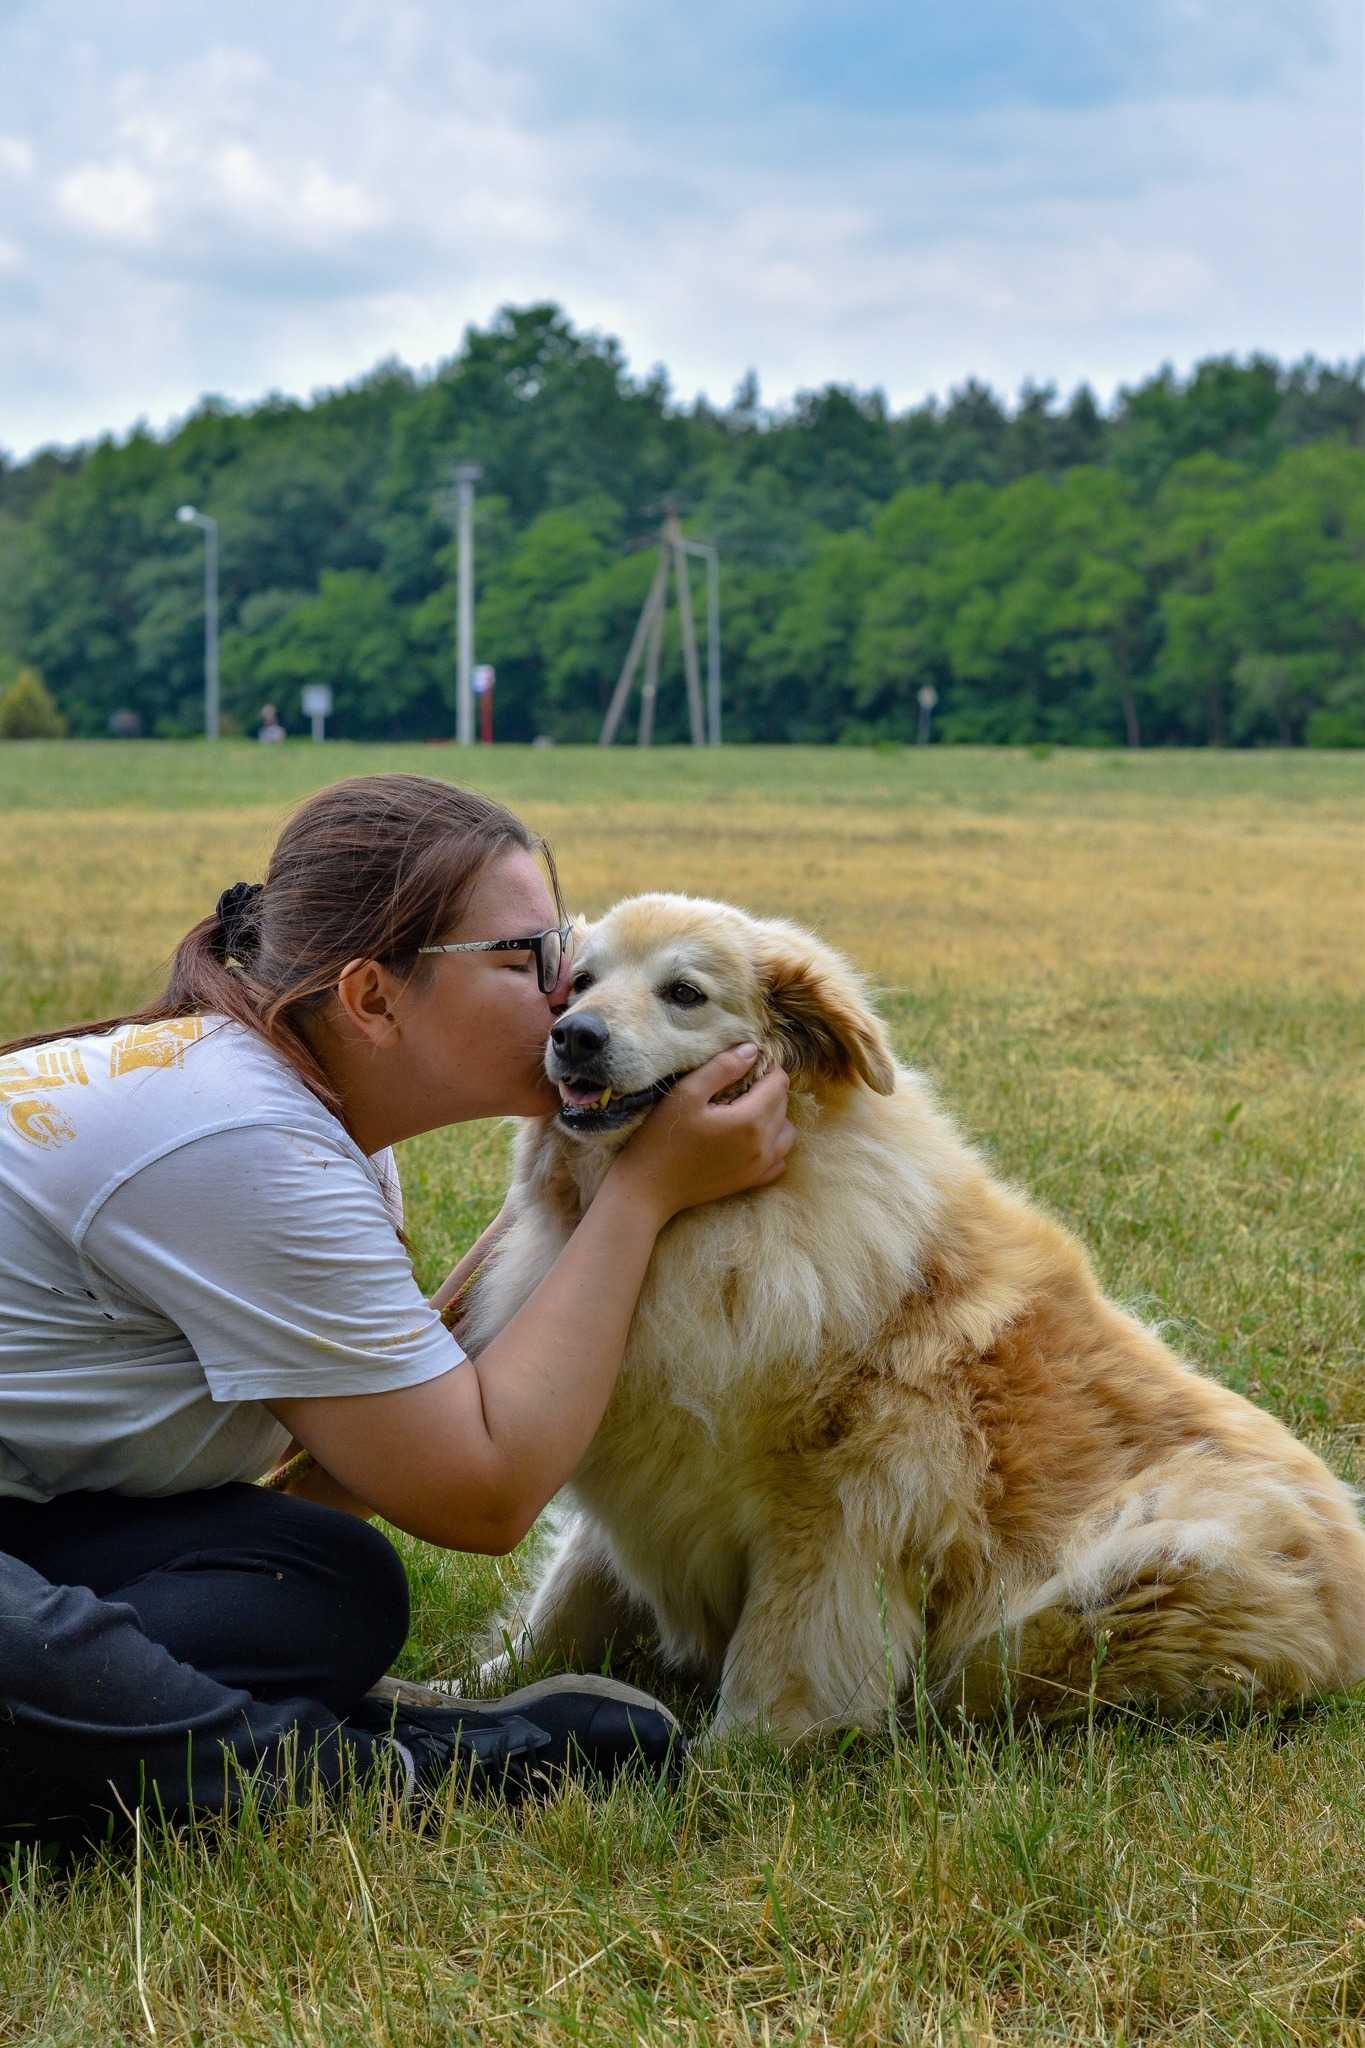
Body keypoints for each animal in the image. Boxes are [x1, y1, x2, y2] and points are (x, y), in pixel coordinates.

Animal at [462, 897, 1365, 1744]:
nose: (573, 1036)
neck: (696, 1219)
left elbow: (783, 1646)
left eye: (683, 993)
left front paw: (736, 1754)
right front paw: (477, 1688)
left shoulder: (839, 1500)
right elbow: (568, 1597)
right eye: (579, 982)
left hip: (1139, 1563)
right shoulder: (636, 1438)